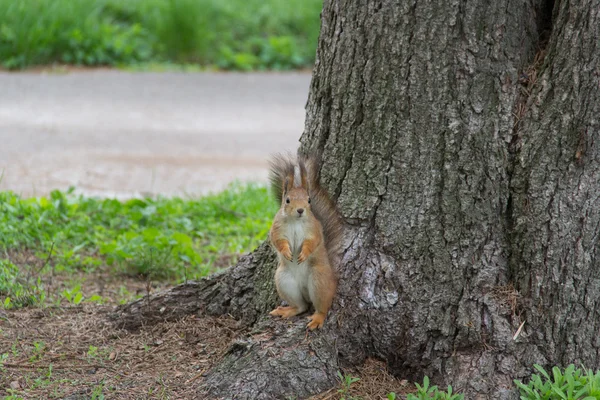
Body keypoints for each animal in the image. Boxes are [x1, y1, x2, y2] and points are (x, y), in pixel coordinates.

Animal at [268, 152, 342, 330]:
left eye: (309, 200)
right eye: (287, 200)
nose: (300, 210)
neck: (296, 221)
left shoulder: (314, 229)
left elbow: (312, 242)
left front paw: (303, 253)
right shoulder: (277, 229)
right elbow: (278, 241)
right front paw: (287, 252)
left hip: (319, 280)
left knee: (322, 307)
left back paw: (317, 319)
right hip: (284, 280)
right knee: (301, 306)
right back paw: (288, 310)